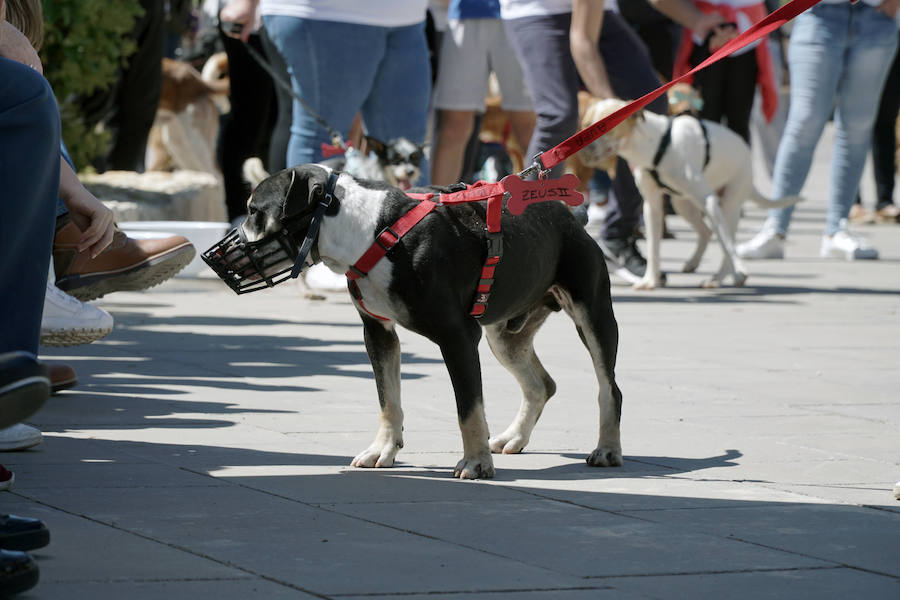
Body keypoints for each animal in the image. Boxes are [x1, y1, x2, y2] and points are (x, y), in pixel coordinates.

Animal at [236, 163, 624, 478]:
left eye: (256, 211)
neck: (372, 232)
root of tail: (572, 216)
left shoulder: (458, 336)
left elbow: (469, 407)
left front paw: (475, 463)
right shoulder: (377, 333)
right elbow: (388, 400)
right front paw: (382, 450)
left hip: (592, 313)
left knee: (609, 387)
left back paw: (607, 450)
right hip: (505, 335)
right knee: (540, 384)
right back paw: (514, 437)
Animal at [576, 96, 800, 288]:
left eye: (606, 127)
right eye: (586, 125)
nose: (583, 153)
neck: (656, 146)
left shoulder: (708, 199)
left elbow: (726, 244)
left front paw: (739, 272)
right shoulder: (652, 206)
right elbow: (654, 246)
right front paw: (650, 280)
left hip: (727, 204)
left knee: (725, 238)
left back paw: (719, 278)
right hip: (682, 204)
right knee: (706, 231)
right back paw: (695, 263)